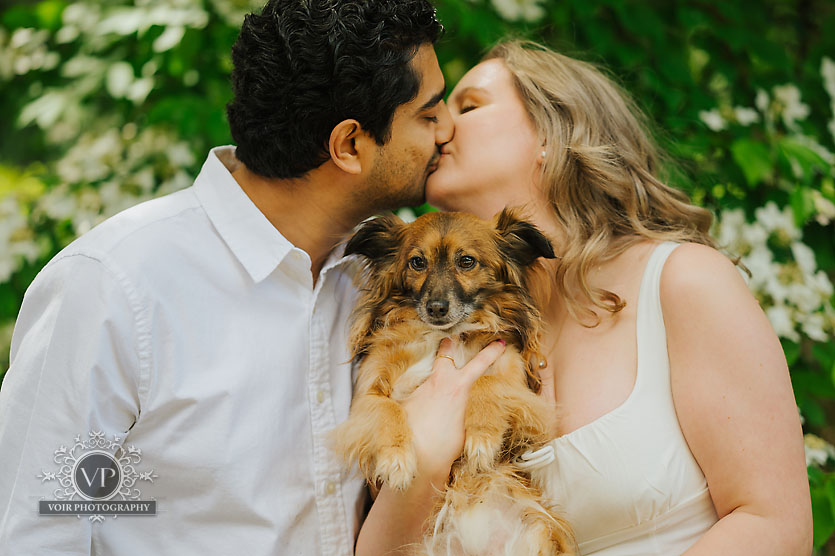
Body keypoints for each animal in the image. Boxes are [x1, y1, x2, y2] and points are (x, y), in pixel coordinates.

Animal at [332, 209, 575, 555]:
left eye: (467, 261)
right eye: (417, 262)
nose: (436, 308)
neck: (445, 335)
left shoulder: (518, 382)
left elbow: (487, 385)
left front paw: (482, 437)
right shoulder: (368, 393)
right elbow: (387, 409)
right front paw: (396, 458)